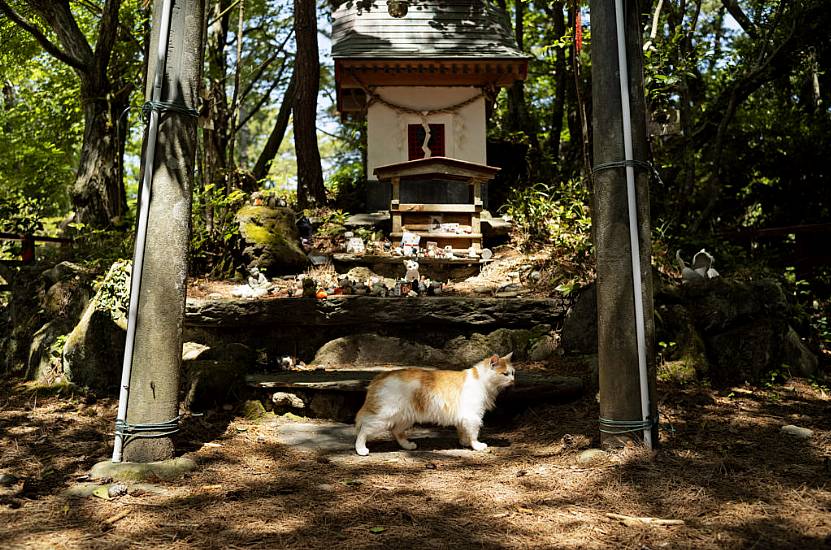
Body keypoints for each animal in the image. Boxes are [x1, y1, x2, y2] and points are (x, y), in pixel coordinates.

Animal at [352, 354, 512, 458]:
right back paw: (361, 449)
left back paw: (407, 445)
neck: (481, 380)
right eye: (505, 374)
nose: (513, 380)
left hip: (406, 417)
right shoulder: (472, 417)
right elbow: (474, 434)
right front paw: (476, 446)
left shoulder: (464, 417)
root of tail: (381, 375)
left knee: (396, 432)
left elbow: (463, 431)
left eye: (512, 373)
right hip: (384, 417)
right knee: (364, 429)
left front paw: (464, 442)